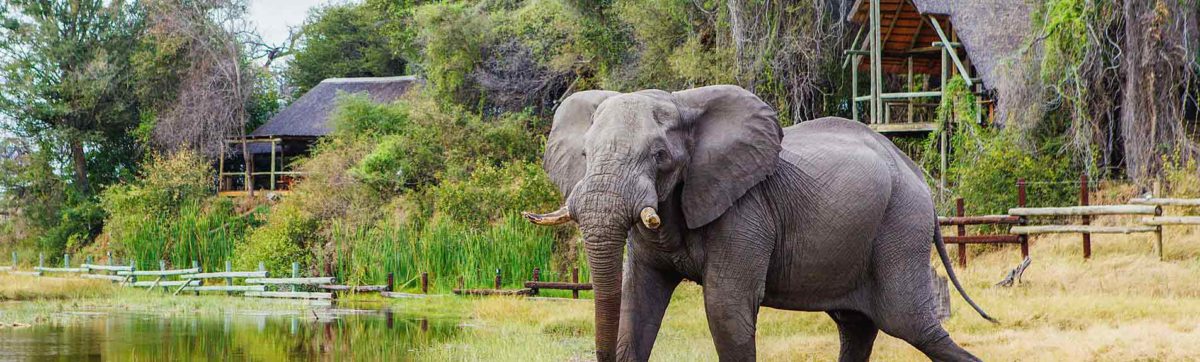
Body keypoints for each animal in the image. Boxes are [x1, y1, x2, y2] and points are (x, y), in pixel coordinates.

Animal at [520, 85, 988, 362]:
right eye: (585, 155)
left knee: (909, 323)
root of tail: (920, 177)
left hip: (899, 226)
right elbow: (637, 303)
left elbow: (725, 309)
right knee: (857, 326)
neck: (680, 100)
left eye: (659, 156)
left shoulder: (745, 211)